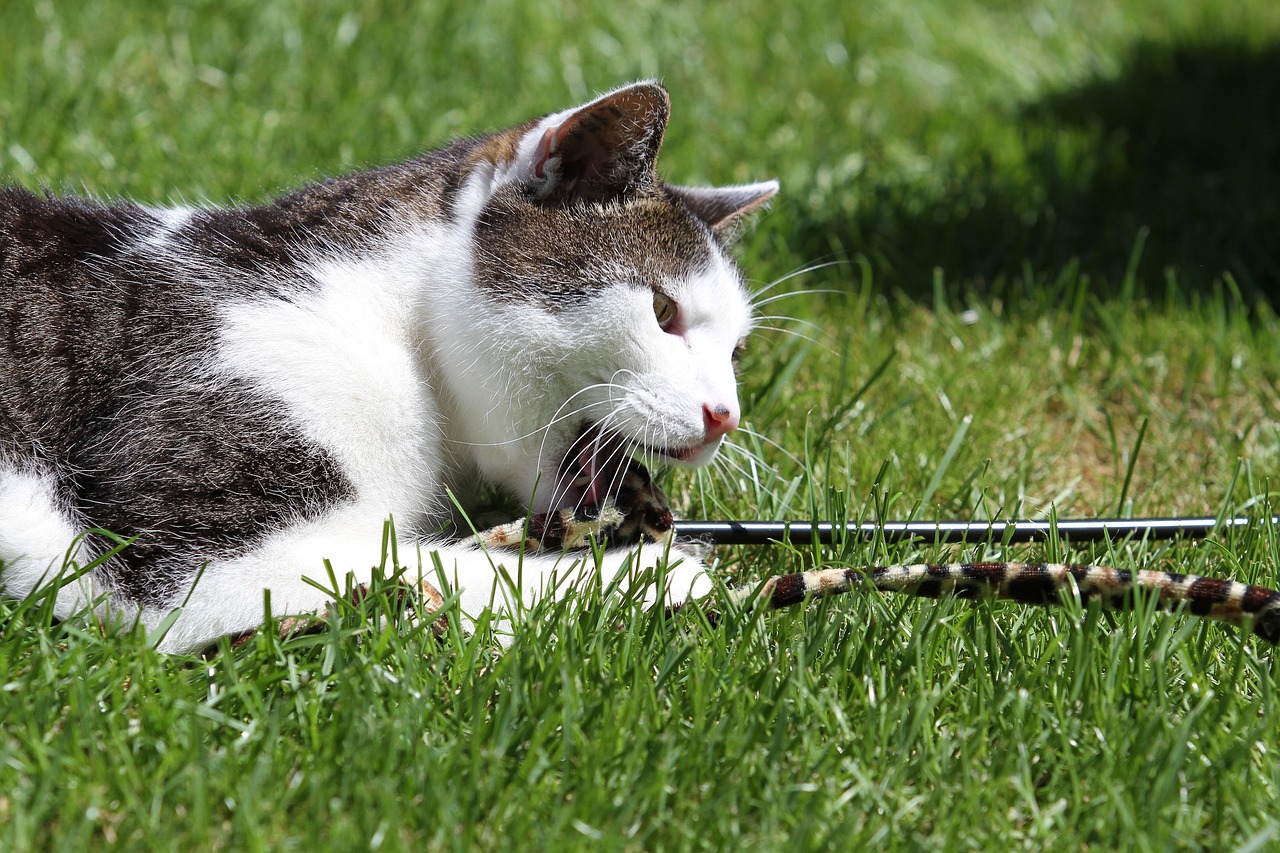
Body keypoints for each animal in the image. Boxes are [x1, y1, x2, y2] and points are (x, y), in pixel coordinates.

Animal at [0, 81, 778, 650]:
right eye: (663, 311)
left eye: (736, 351)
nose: (726, 416)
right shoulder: (196, 560)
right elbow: (438, 567)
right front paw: (662, 576)